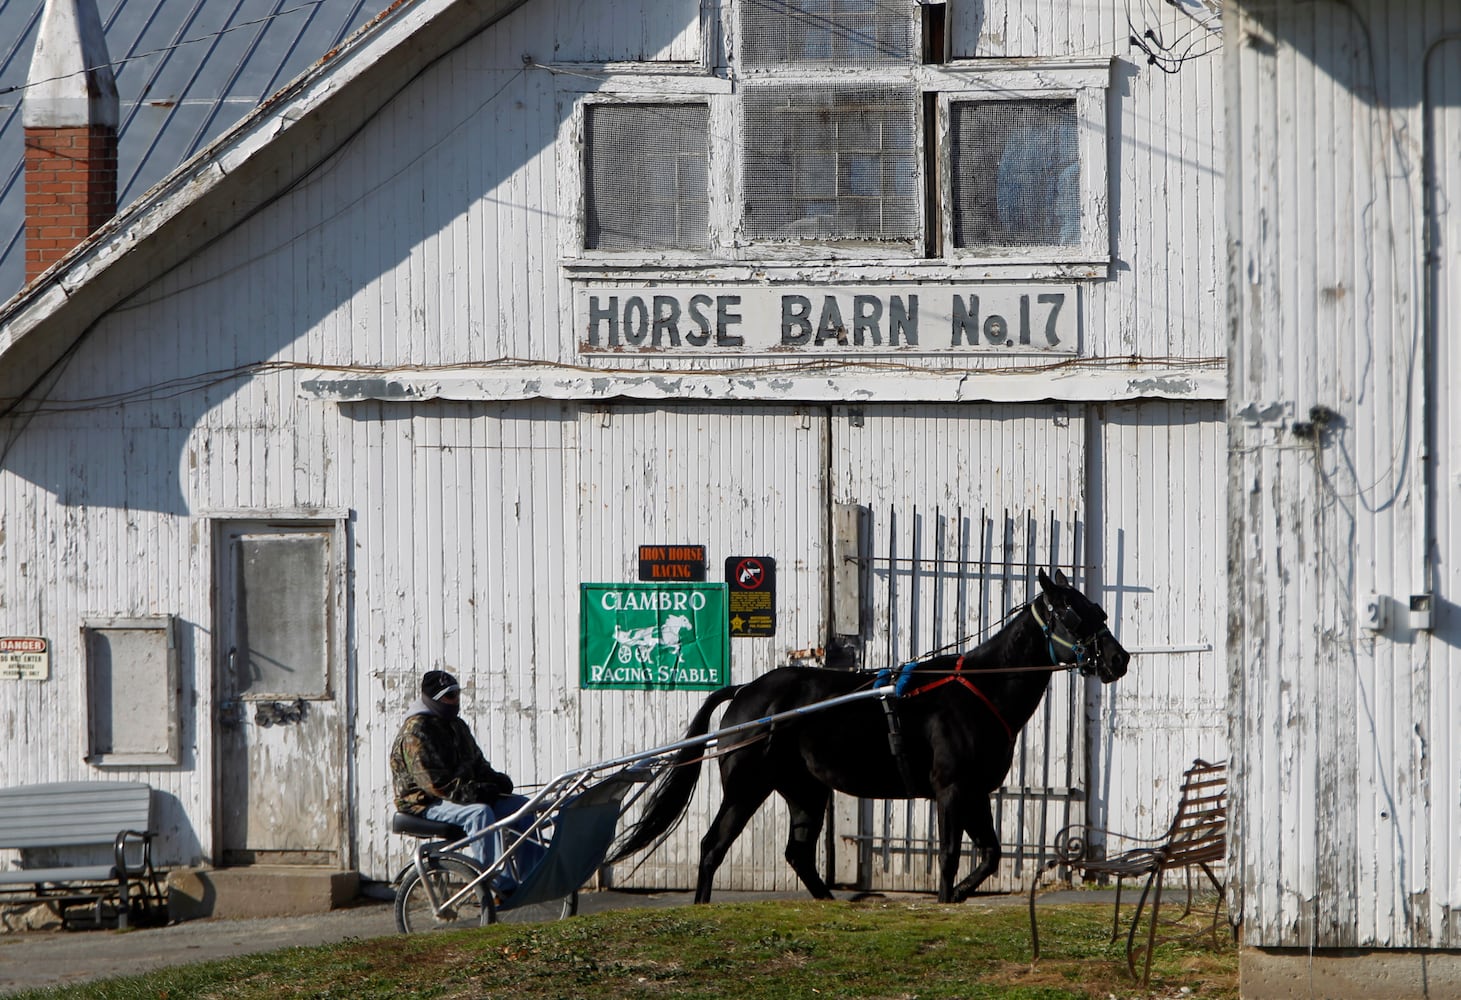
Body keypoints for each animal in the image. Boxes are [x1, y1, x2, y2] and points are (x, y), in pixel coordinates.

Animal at [610, 570, 1133, 906]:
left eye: (1098, 609)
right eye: (1073, 613)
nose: (1118, 659)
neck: (980, 687)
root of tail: (747, 691)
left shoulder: (976, 792)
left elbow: (989, 855)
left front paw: (961, 895)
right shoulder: (951, 789)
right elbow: (948, 857)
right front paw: (948, 896)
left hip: (806, 790)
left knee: (798, 854)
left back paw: (828, 902)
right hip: (747, 788)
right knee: (712, 847)